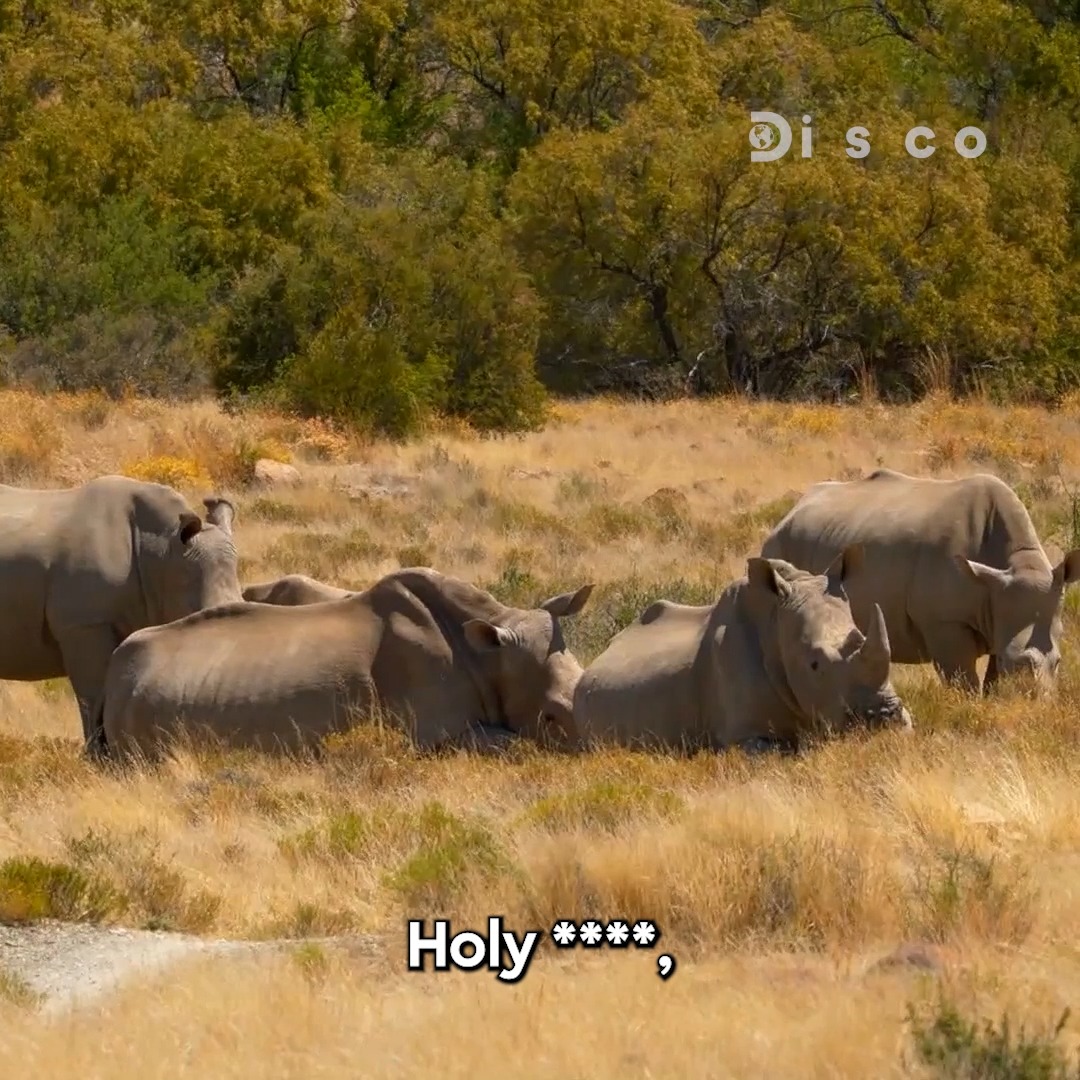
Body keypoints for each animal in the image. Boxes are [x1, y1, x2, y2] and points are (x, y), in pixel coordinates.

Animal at [761, 469, 1080, 694]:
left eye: (1059, 662)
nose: (1039, 704)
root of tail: (791, 511)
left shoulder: (998, 612)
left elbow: (992, 679)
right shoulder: (945, 622)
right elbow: (963, 682)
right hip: (781, 544)